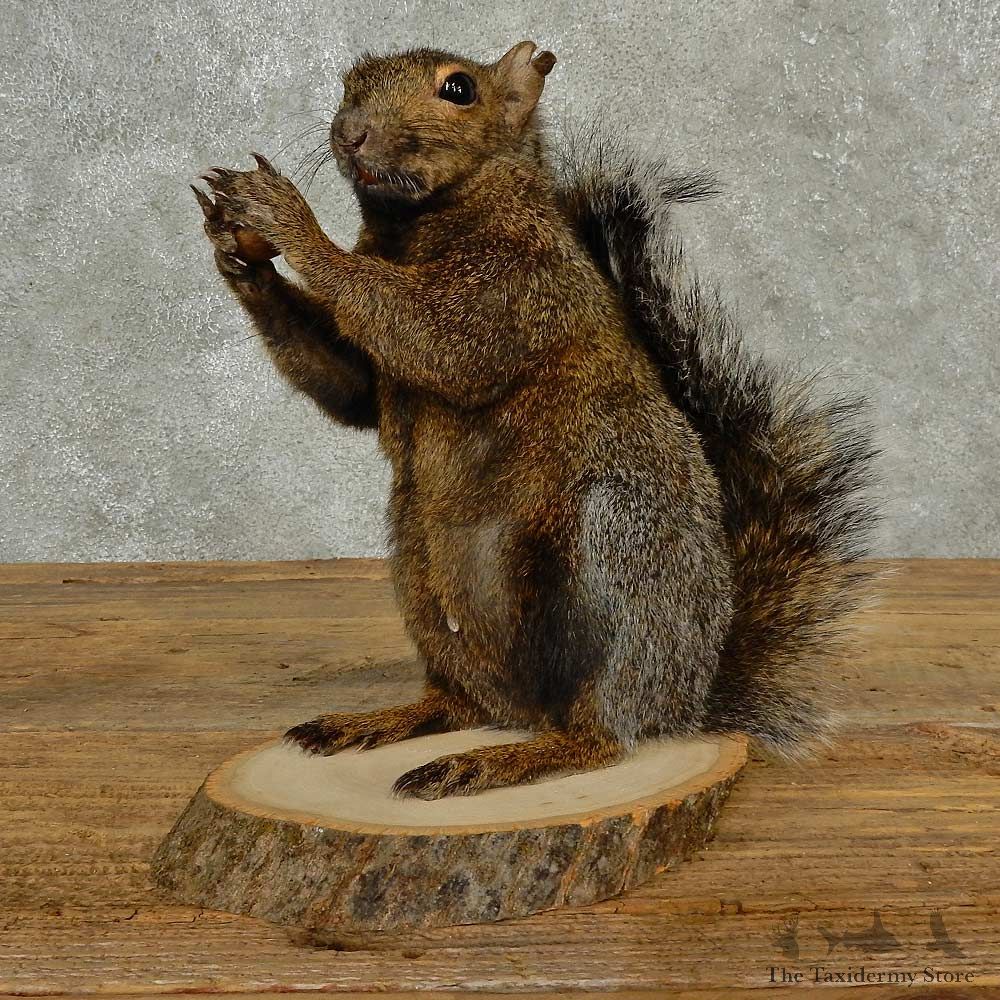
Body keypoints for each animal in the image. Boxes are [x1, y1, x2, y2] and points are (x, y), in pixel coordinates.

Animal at [192, 40, 879, 800]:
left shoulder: (522, 288)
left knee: (600, 735)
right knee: (466, 705)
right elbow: (348, 388)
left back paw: (505, 759)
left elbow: (432, 336)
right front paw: (236, 253)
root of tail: (686, 701)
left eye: (458, 89)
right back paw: (387, 723)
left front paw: (287, 217)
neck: (413, 227)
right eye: (349, 84)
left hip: (612, 564)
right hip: (424, 579)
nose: (350, 132)